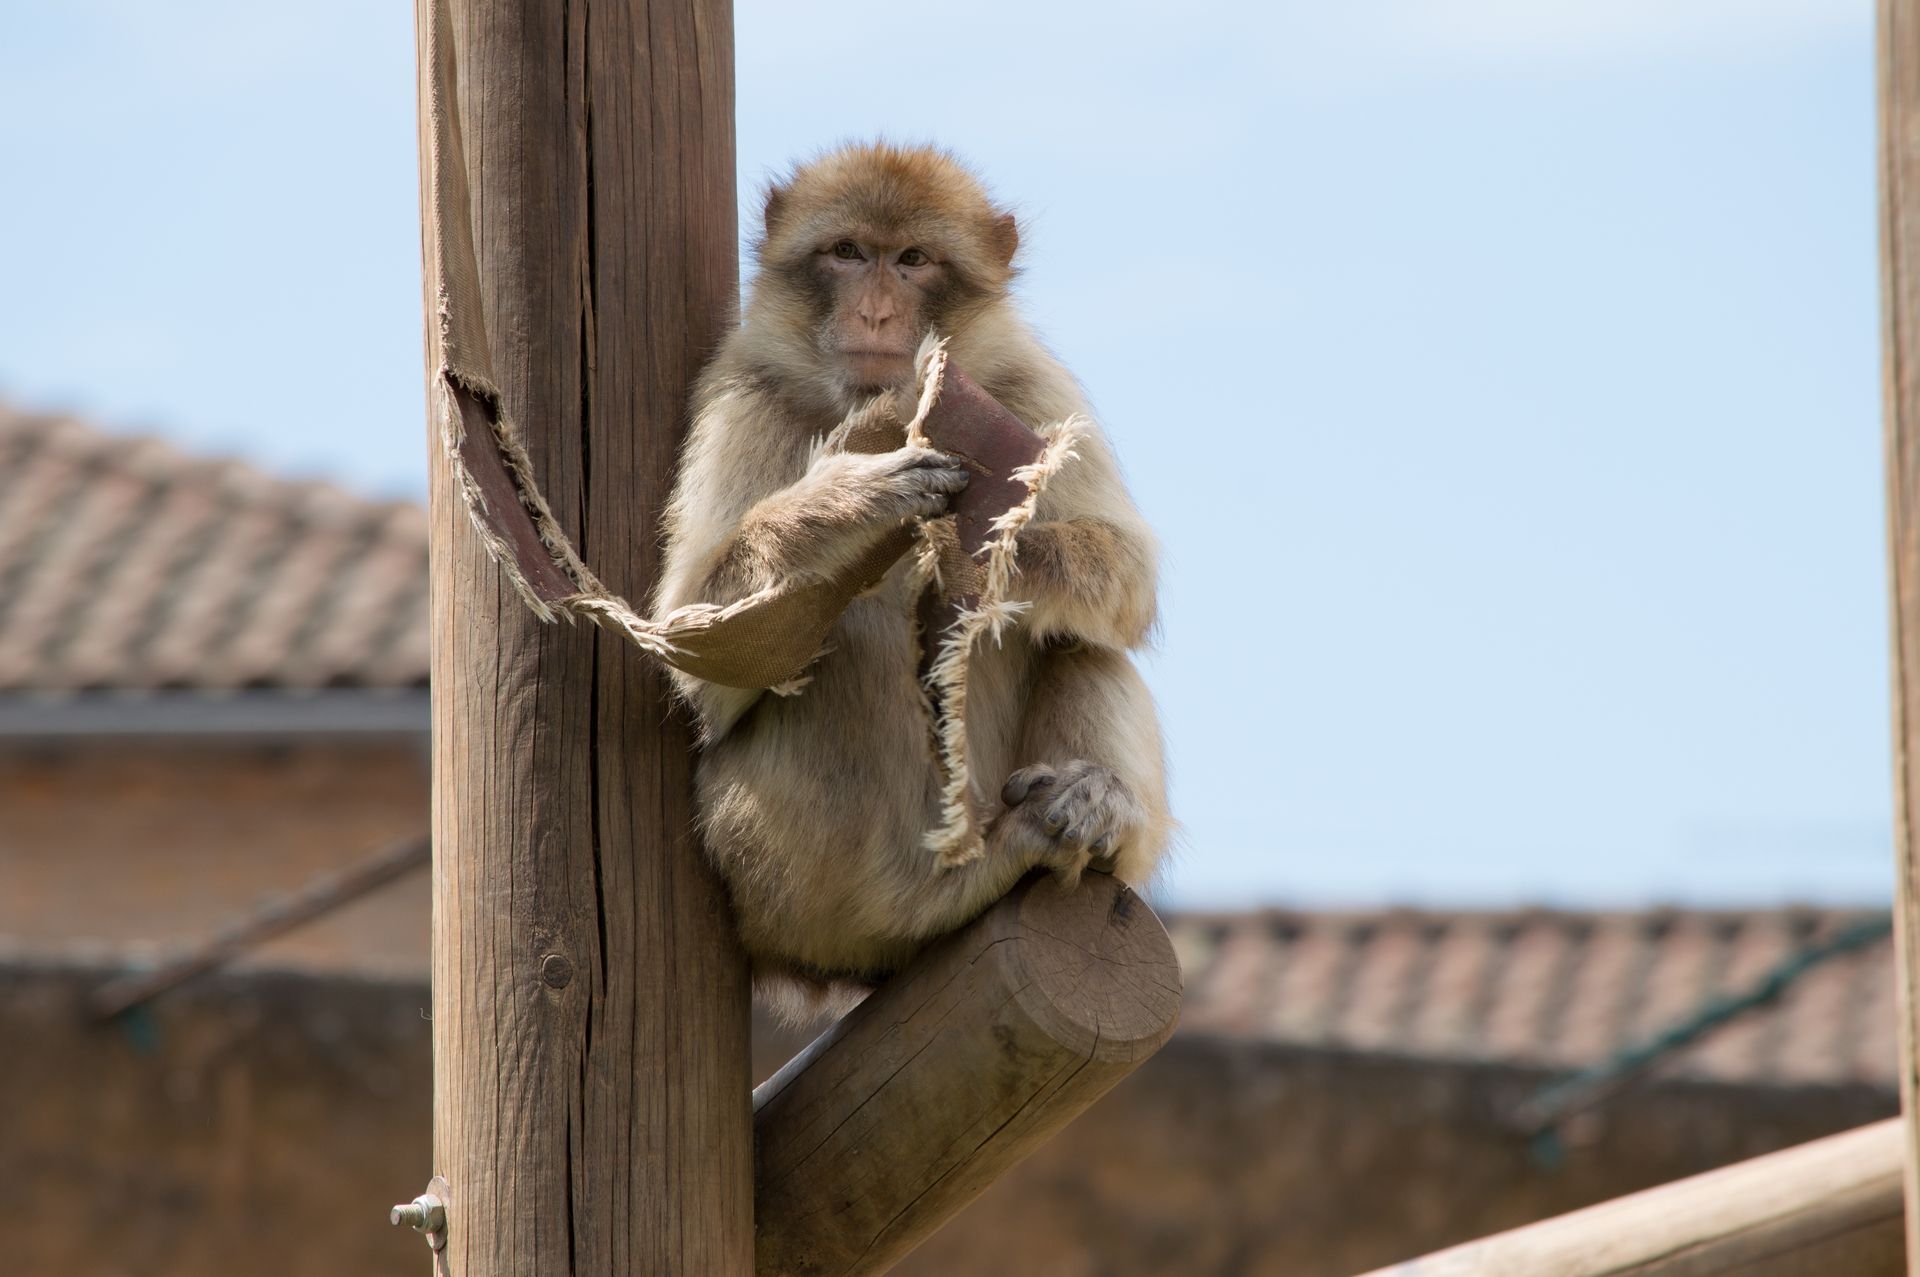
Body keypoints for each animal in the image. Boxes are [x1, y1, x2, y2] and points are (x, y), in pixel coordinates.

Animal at [656, 142, 1167, 1013]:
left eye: (914, 261)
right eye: (847, 251)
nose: (875, 315)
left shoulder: (1028, 382)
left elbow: (1127, 574)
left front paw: (981, 550)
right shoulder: (739, 394)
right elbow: (697, 653)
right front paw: (849, 496)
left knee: (1081, 640)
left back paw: (1085, 813)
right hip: (775, 883)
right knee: (837, 640)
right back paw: (929, 894)